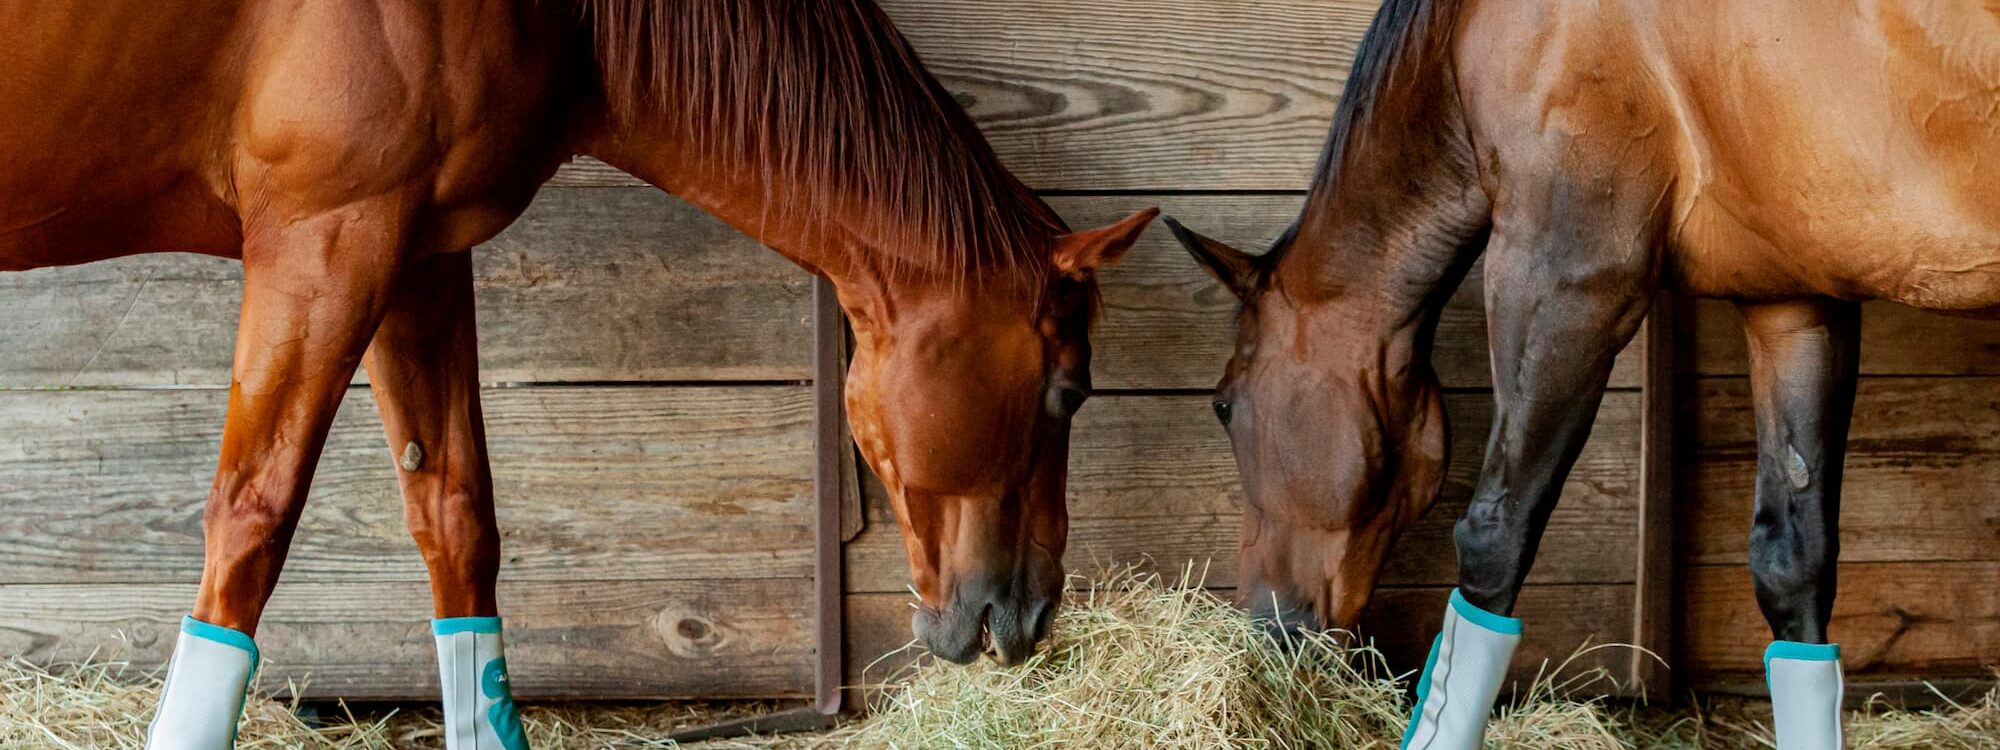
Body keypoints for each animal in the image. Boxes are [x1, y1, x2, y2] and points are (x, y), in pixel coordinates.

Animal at [1, 1, 1155, 747]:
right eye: (1067, 391)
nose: (1029, 616)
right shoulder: (325, 241)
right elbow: (251, 524)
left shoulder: (413, 251)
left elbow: (456, 521)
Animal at [1166, 0, 2000, 747]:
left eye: (1222, 405)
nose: (1266, 628)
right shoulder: (1793, 302)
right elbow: (1792, 562)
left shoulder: (1565, 275)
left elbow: (1494, 540)